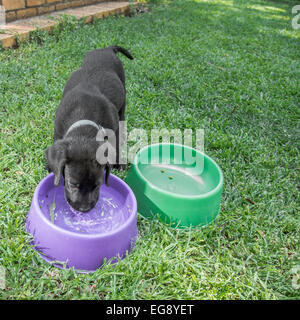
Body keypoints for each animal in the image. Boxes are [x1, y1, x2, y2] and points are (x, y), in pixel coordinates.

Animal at [45, 43, 132, 211]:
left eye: (97, 185)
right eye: (72, 184)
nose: (84, 209)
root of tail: (107, 49)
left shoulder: (113, 131)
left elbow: (116, 145)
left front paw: (120, 163)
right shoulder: (57, 132)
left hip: (122, 101)